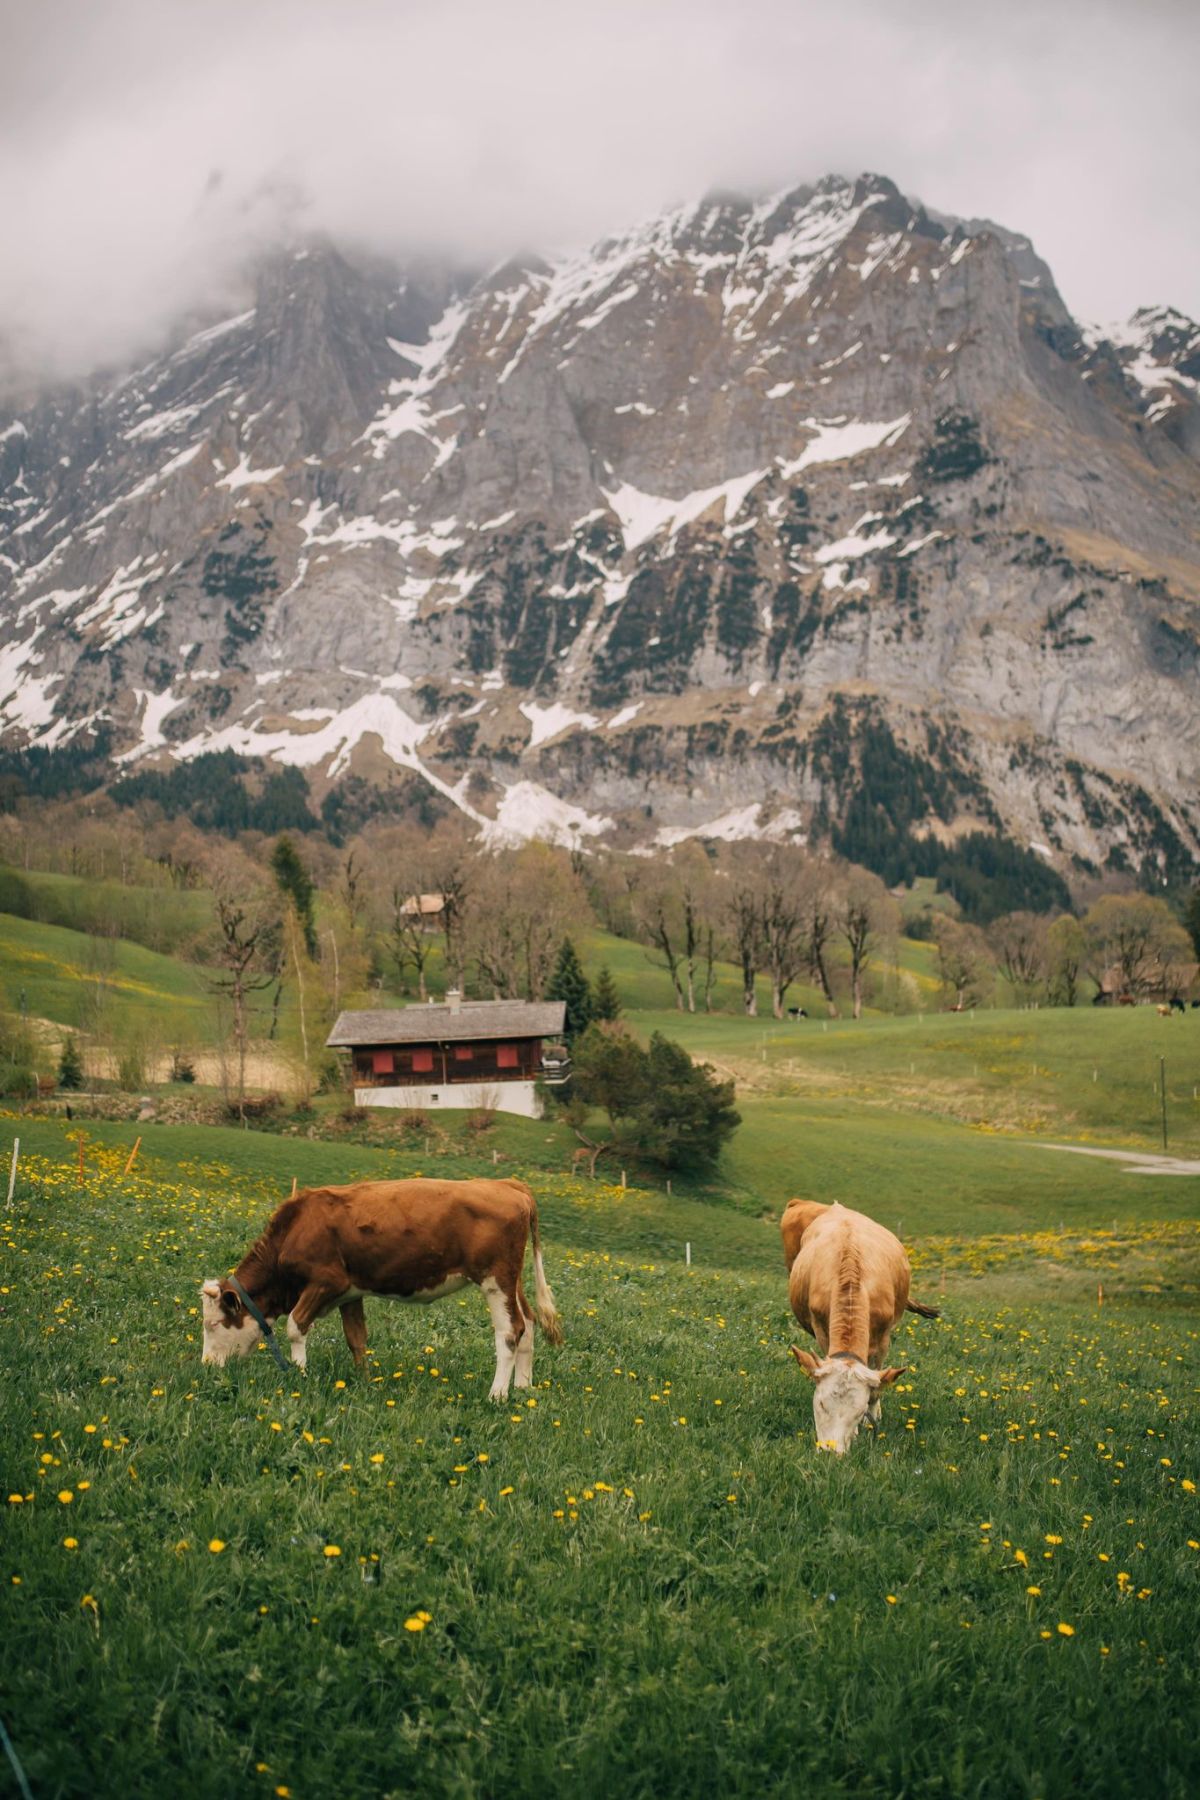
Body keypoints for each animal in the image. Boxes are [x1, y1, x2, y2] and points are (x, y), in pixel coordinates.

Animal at [200, 1177, 563, 1401]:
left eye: (214, 1323)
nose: (205, 1365)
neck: (298, 1226)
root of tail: (507, 1184)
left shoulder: (327, 1282)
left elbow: (295, 1326)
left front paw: (299, 1374)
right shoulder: (350, 1292)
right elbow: (356, 1338)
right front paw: (363, 1380)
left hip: (495, 1281)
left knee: (510, 1331)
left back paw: (497, 1395)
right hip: (512, 1281)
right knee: (529, 1323)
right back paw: (523, 1388)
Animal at [781, 1198, 938, 1454]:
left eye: (858, 1410)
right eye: (821, 1403)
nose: (830, 1452)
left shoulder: (883, 1338)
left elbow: (878, 1384)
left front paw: (870, 1419)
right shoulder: (821, 1329)